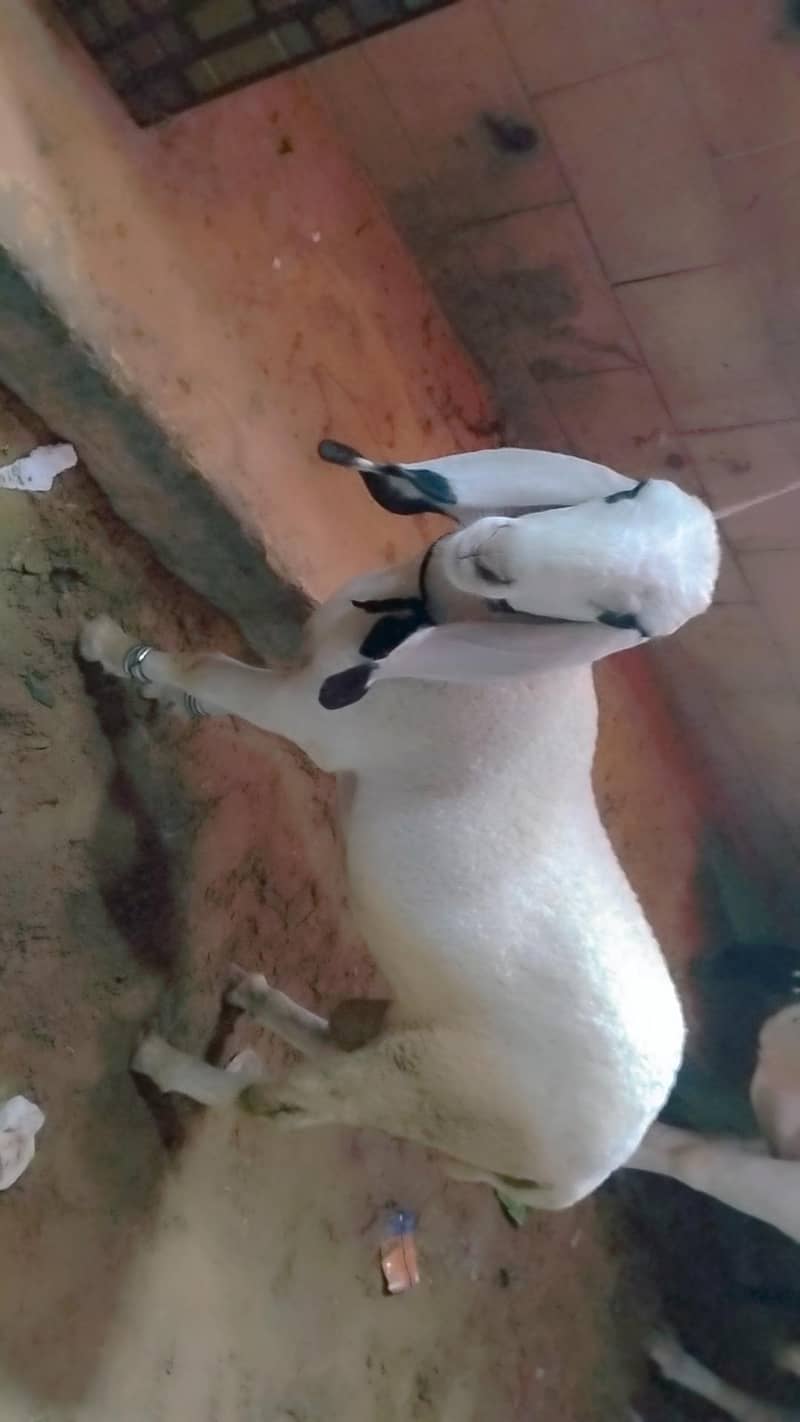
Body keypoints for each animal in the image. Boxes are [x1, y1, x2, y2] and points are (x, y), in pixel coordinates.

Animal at [79, 442, 722, 1213]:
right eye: (623, 495)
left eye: (625, 619)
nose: (494, 554)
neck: (436, 631)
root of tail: (594, 1169)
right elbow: (200, 684)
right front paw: (155, 690)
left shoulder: (304, 712)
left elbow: (206, 665)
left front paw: (111, 647)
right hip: (420, 1044)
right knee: (339, 1042)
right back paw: (255, 997)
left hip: (431, 1086)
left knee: (277, 1103)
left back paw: (167, 1062)